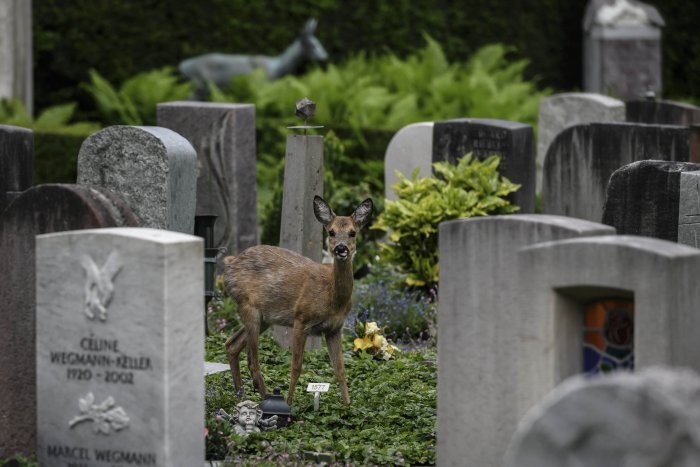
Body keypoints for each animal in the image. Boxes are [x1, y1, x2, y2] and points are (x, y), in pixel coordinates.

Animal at [176, 18, 326, 99]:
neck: (276, 67)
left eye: (318, 42)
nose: (324, 55)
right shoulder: (260, 86)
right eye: (312, 45)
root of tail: (183, 66)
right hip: (199, 84)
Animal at [223, 196, 374, 404]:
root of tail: (229, 264)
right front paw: (289, 403)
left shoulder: (335, 328)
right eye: (331, 232)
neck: (332, 298)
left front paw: (347, 405)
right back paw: (266, 399)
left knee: (232, 344)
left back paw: (242, 396)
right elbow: (296, 366)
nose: (341, 248)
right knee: (253, 361)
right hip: (248, 306)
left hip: (264, 318)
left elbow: (340, 370)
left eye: (353, 232)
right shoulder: (300, 319)